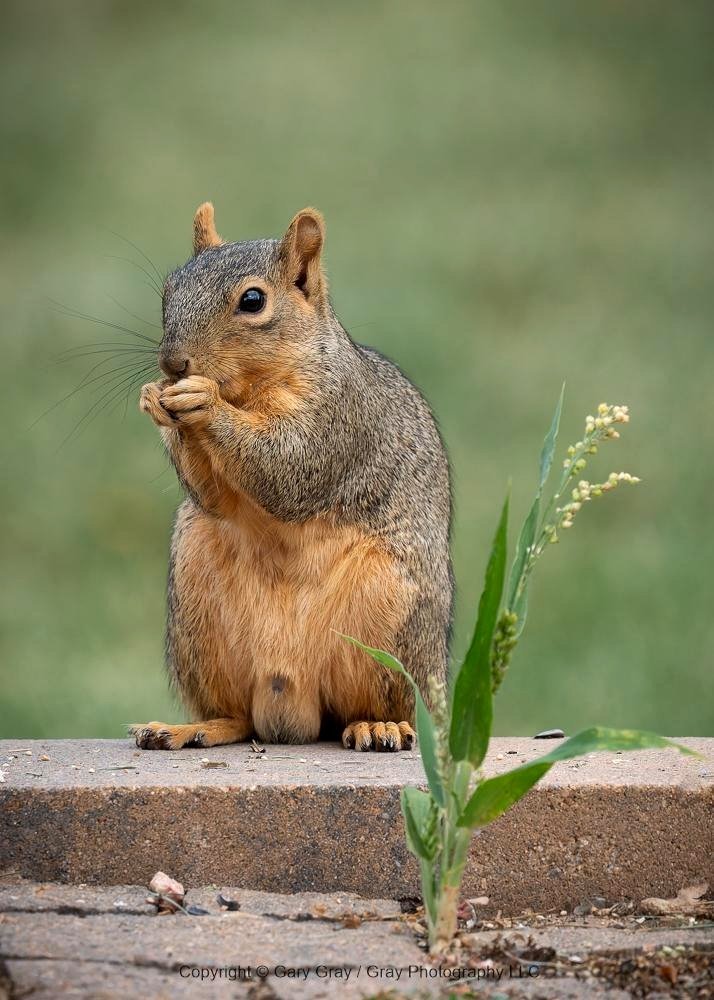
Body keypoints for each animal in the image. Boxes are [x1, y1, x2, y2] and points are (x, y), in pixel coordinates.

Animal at [130, 204, 453, 752]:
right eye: (169, 289)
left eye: (253, 300)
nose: (172, 364)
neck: (249, 390)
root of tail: (293, 703)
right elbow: (213, 497)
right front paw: (157, 399)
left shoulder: (338, 415)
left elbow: (288, 468)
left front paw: (203, 403)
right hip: (199, 619)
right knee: (236, 717)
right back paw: (190, 728)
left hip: (391, 618)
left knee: (384, 705)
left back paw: (379, 726)